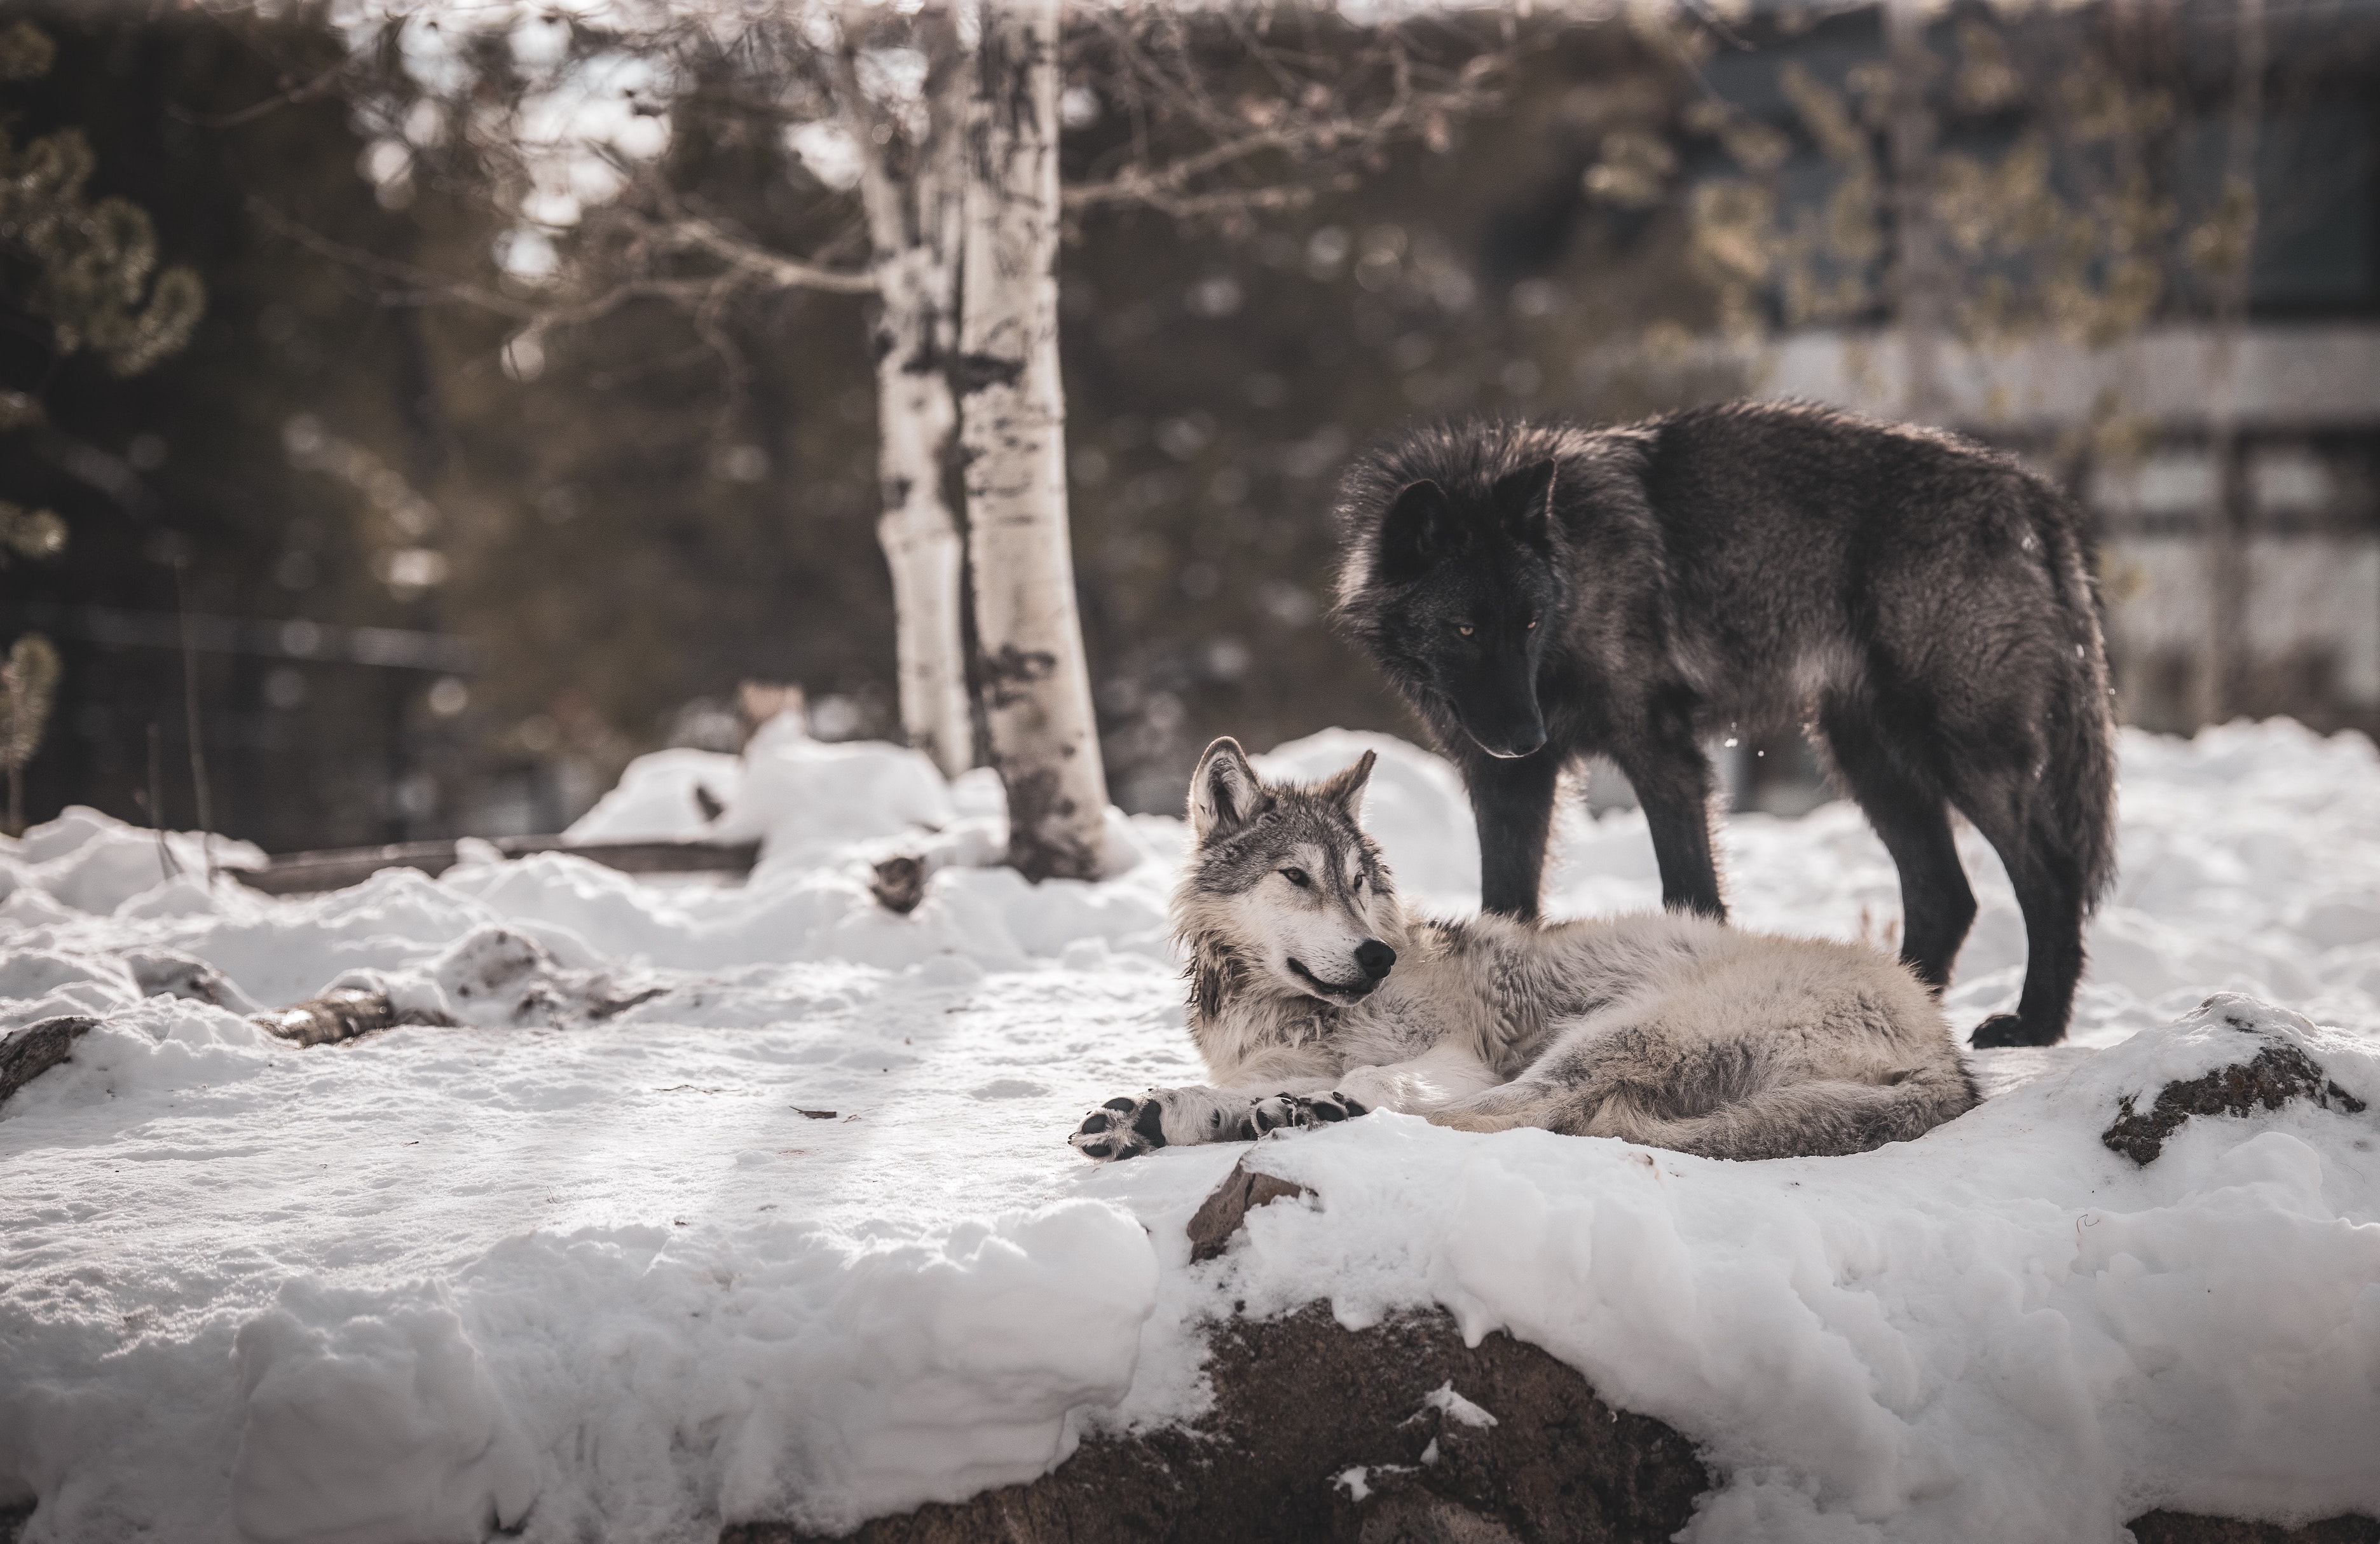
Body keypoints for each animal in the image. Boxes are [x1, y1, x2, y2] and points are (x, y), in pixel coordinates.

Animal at [1070, 742, 1980, 1161]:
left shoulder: (1454, 1056)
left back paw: (1321, 1115)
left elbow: (1386, 1078)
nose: (1377, 957)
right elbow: (1241, 1087)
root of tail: (1950, 1053)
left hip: (1611, 1032)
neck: (1288, 1011)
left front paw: (1309, 1103)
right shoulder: (1268, 1059)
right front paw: (1159, 1110)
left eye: (1359, 881)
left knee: (1518, 1112)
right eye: (1297, 876)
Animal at [1332, 397, 2113, 1046]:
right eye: (1466, 628)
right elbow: (1507, 905)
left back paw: (2035, 1024)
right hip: (1866, 757)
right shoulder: (1507, 782)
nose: (1529, 738)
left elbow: (1691, 891)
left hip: (1961, 750)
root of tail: (2028, 488)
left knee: (2051, 875)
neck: (1576, 575)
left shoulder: (1661, 754)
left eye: (1527, 622)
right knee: (1946, 894)